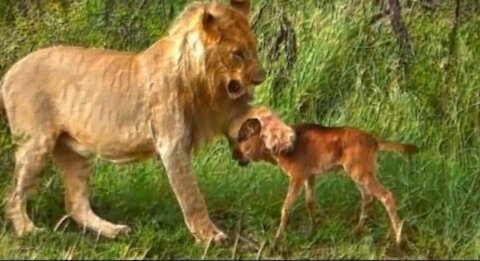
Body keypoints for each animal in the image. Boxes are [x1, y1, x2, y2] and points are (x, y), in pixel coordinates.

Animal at [0, 0, 296, 244]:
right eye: (237, 53)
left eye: (253, 49)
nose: (260, 79)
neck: (208, 86)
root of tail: (10, 71)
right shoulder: (171, 142)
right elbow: (191, 195)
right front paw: (210, 236)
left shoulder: (228, 113)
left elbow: (262, 112)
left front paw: (284, 135)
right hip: (36, 143)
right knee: (13, 195)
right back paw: (28, 231)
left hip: (72, 151)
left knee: (76, 204)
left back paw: (114, 230)